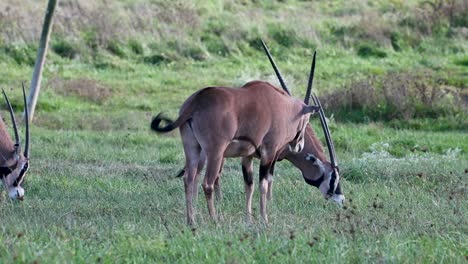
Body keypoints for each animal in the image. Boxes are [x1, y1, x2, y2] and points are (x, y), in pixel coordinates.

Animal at [152, 53, 320, 225]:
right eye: (307, 120)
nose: (299, 146)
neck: (285, 107)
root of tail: (196, 101)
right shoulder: (268, 153)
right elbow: (263, 185)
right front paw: (264, 219)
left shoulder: (248, 156)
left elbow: (249, 185)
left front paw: (249, 219)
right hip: (215, 152)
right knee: (207, 183)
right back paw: (214, 220)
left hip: (193, 149)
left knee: (189, 179)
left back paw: (191, 220)